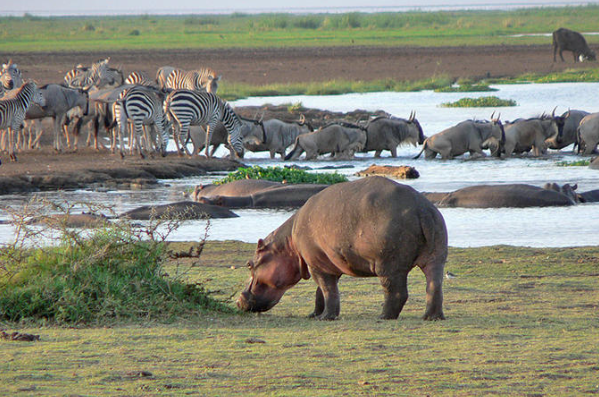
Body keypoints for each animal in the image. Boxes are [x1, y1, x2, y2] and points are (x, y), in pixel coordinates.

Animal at [237, 178, 448, 320]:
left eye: (249, 264)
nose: (238, 301)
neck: (287, 244)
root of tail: (422, 208)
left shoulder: (316, 265)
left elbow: (328, 291)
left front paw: (325, 317)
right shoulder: (323, 263)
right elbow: (321, 292)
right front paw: (314, 315)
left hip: (389, 265)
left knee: (396, 292)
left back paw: (383, 316)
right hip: (436, 256)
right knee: (434, 285)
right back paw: (431, 317)